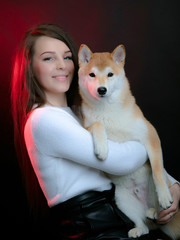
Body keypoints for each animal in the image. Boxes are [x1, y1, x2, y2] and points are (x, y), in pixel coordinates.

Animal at [78, 44, 180, 238]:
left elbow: (157, 170)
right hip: (121, 199)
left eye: (110, 74)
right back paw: (139, 228)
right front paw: (102, 148)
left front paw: (164, 196)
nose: (101, 90)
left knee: (159, 208)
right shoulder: (85, 126)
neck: (108, 110)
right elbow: (97, 124)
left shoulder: (150, 135)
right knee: (145, 225)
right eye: (92, 74)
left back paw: (155, 210)